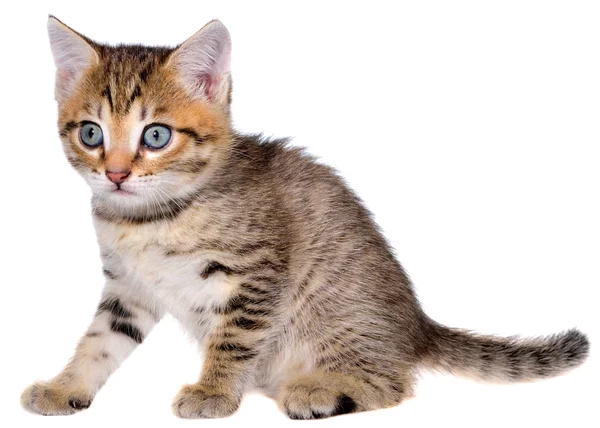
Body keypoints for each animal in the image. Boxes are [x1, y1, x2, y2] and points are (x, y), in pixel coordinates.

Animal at [21, 15, 588, 418]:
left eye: (156, 135)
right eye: (91, 133)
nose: (115, 174)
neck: (148, 219)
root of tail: (418, 327)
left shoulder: (256, 272)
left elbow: (233, 338)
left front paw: (213, 391)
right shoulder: (128, 289)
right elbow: (99, 341)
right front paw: (65, 387)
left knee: (393, 383)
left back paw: (321, 391)